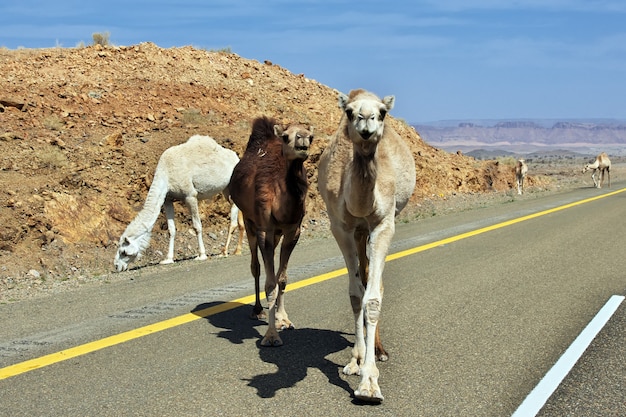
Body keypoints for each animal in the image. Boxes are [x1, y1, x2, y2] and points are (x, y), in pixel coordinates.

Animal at [114, 135, 244, 272]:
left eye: (124, 252)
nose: (117, 266)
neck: (166, 173)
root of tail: (236, 157)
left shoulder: (190, 195)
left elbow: (197, 226)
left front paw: (201, 255)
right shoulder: (167, 199)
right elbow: (171, 230)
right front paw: (168, 259)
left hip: (230, 185)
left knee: (233, 219)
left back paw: (224, 252)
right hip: (226, 189)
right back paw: (237, 250)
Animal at [227, 115, 312, 346]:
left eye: (311, 136)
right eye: (286, 136)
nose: (303, 139)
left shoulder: (293, 230)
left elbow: (282, 279)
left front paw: (284, 320)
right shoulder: (264, 227)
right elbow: (270, 283)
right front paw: (271, 336)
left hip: (276, 233)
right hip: (249, 221)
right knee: (255, 267)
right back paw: (257, 310)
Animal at [316, 88, 414, 404]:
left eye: (382, 112)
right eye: (349, 112)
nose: (366, 121)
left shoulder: (384, 224)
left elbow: (372, 299)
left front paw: (370, 384)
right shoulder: (341, 227)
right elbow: (356, 295)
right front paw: (357, 362)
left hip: (373, 228)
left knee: (376, 281)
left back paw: (380, 351)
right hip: (358, 232)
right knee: (363, 278)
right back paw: (358, 356)